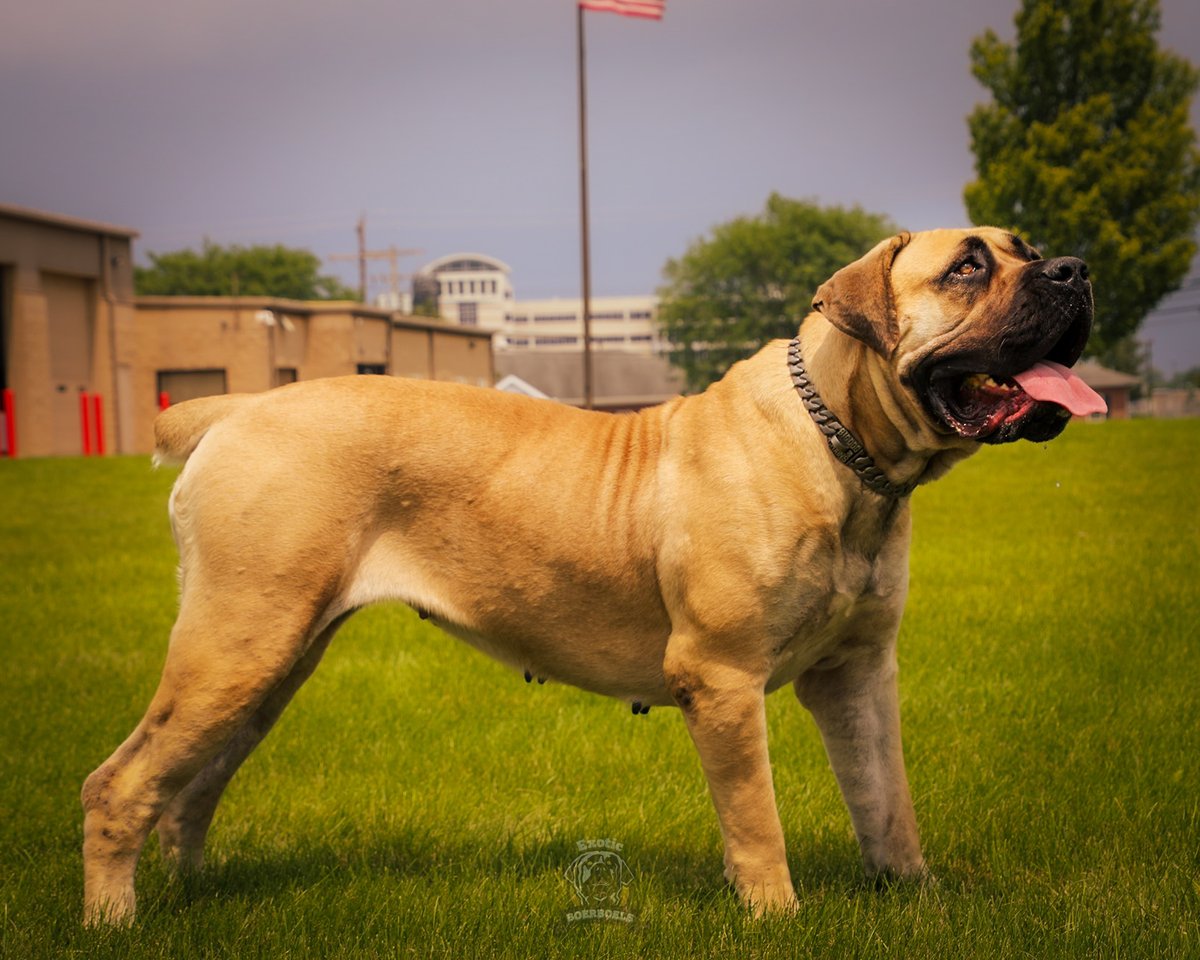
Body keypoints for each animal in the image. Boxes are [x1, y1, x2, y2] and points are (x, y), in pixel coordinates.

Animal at [79, 226, 1099, 921]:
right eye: (968, 267)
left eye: (1027, 248)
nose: (1075, 270)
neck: (842, 445)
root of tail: (237, 407)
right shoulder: (722, 680)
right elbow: (756, 818)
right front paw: (776, 916)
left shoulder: (858, 675)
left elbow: (887, 800)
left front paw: (914, 895)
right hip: (236, 645)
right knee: (120, 786)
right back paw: (115, 919)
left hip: (267, 660)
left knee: (190, 785)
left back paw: (196, 893)